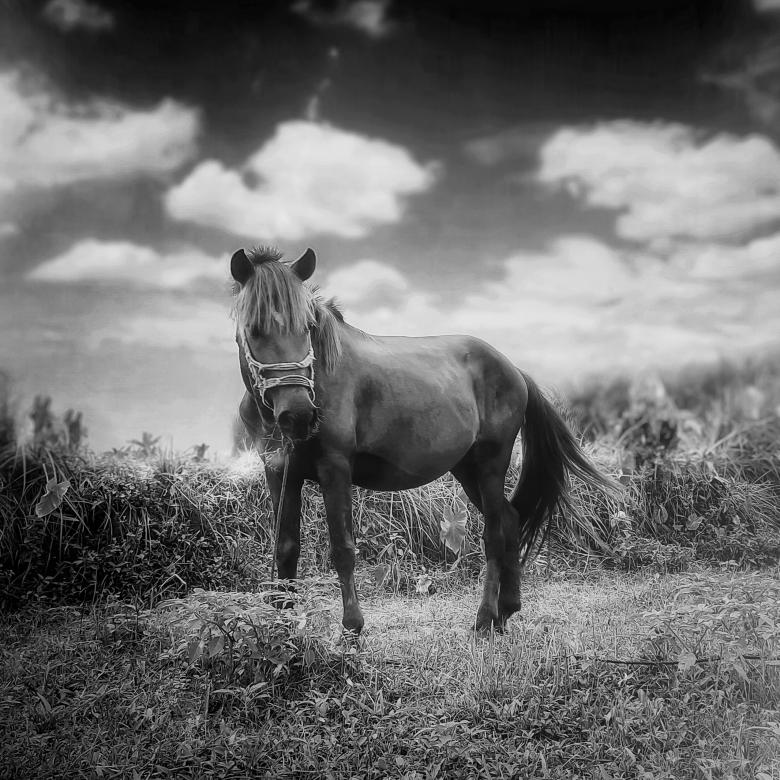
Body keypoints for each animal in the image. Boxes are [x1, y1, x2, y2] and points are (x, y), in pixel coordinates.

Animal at [231, 246, 617, 634]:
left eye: (307, 327)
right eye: (254, 329)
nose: (298, 414)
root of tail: (513, 370)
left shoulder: (334, 468)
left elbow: (342, 547)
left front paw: (352, 630)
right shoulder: (280, 472)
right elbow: (285, 548)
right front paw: (280, 627)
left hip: (491, 463)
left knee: (495, 533)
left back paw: (484, 619)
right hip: (466, 469)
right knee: (509, 521)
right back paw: (505, 611)